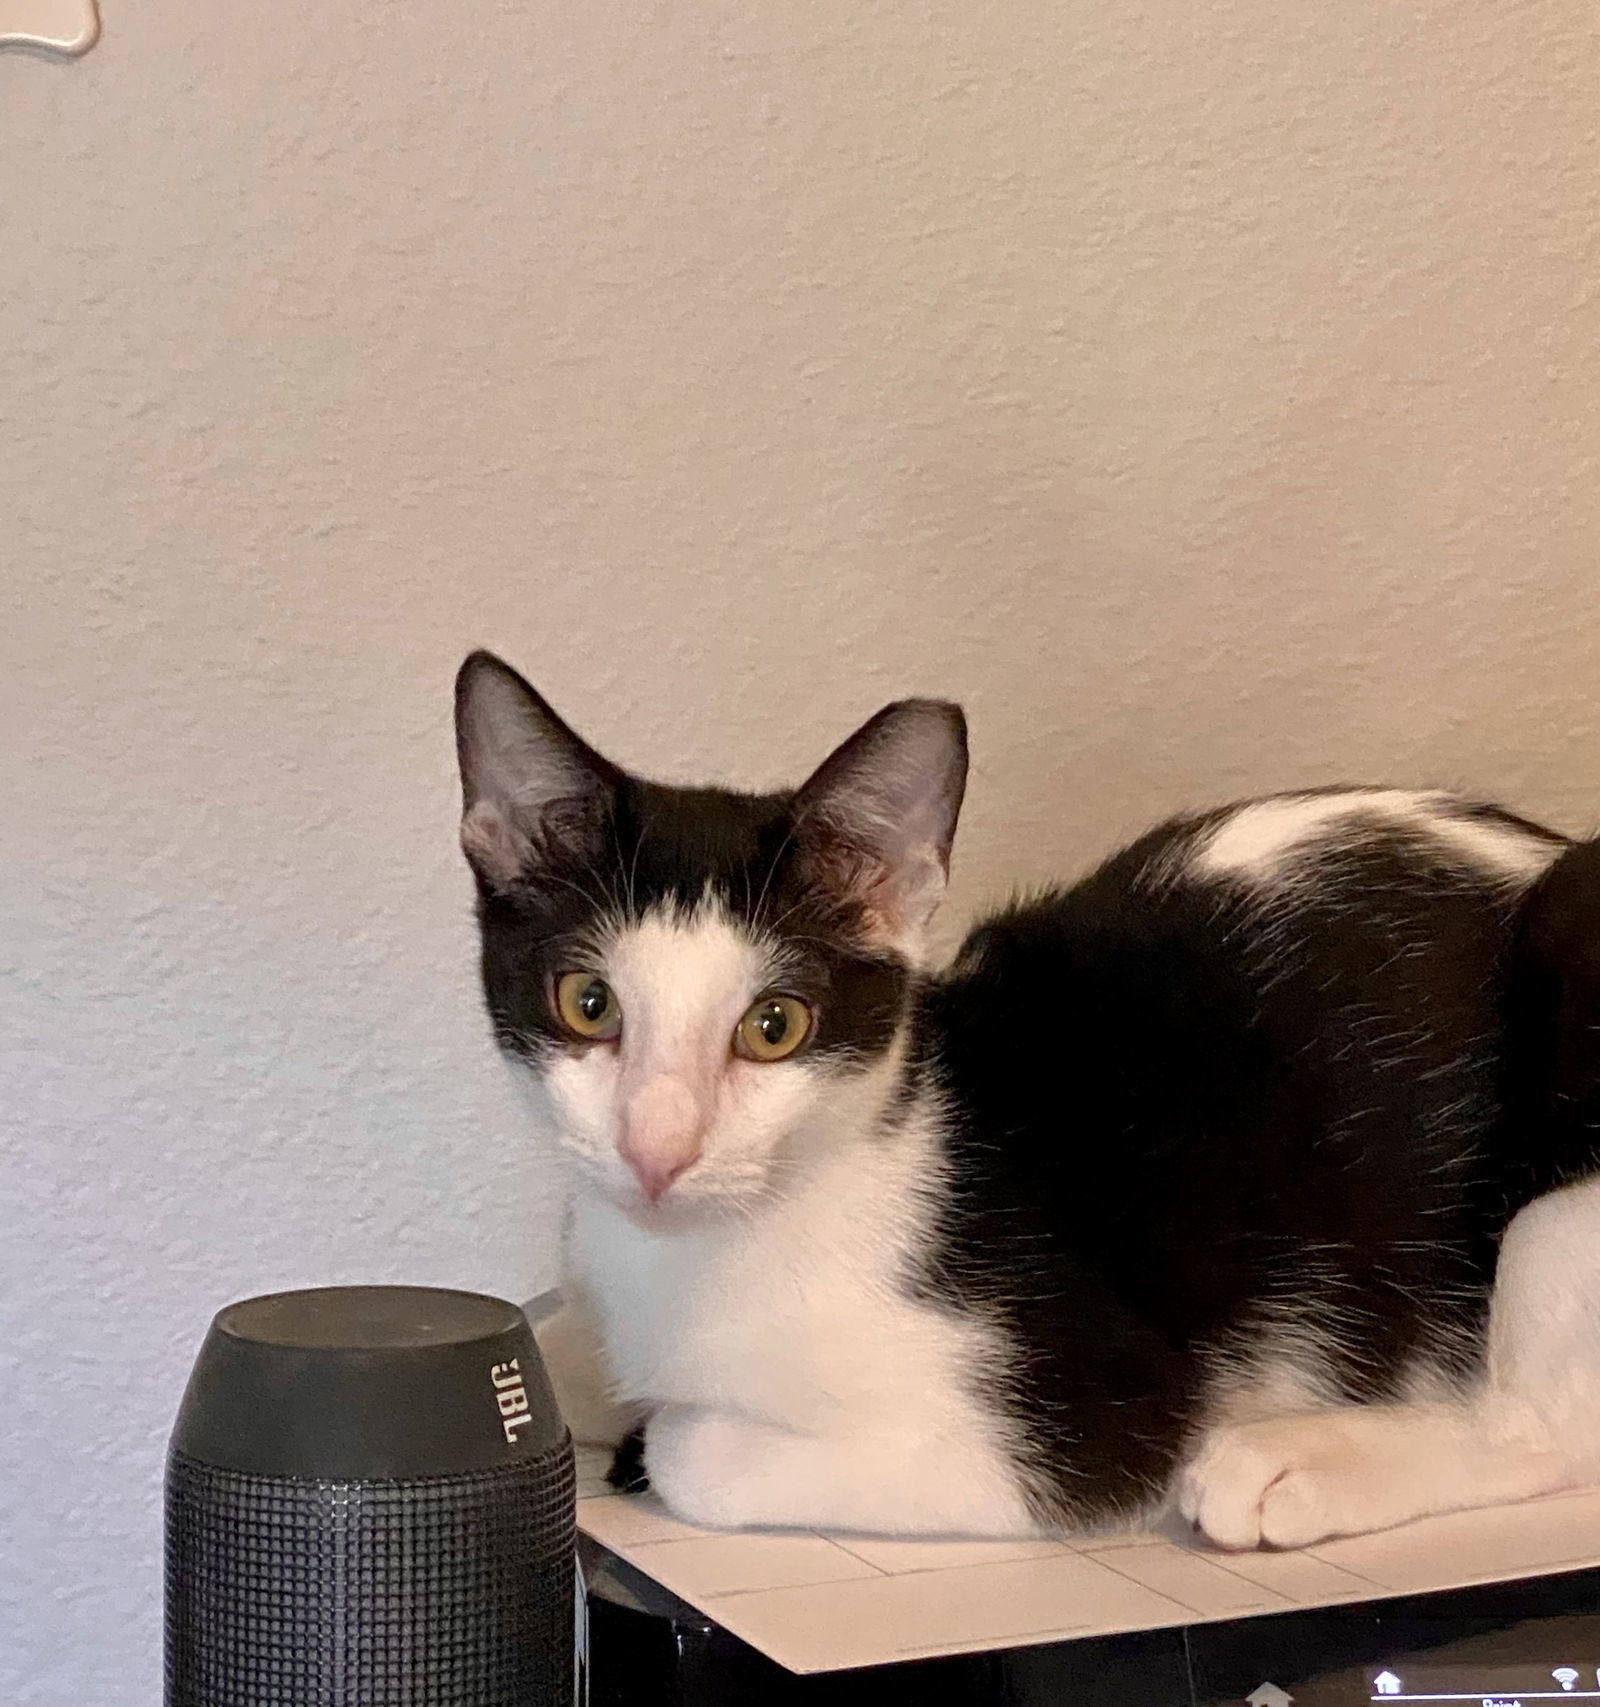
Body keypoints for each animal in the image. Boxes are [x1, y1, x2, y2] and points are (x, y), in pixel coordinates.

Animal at [450, 648, 1598, 1549]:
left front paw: (653, 1436)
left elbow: (697, 1452)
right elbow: (555, 1344)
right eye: (588, 1003)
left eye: (774, 1025)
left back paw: (1302, 1461)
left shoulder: (1080, 1421)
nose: (658, 1148)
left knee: (1551, 1428)